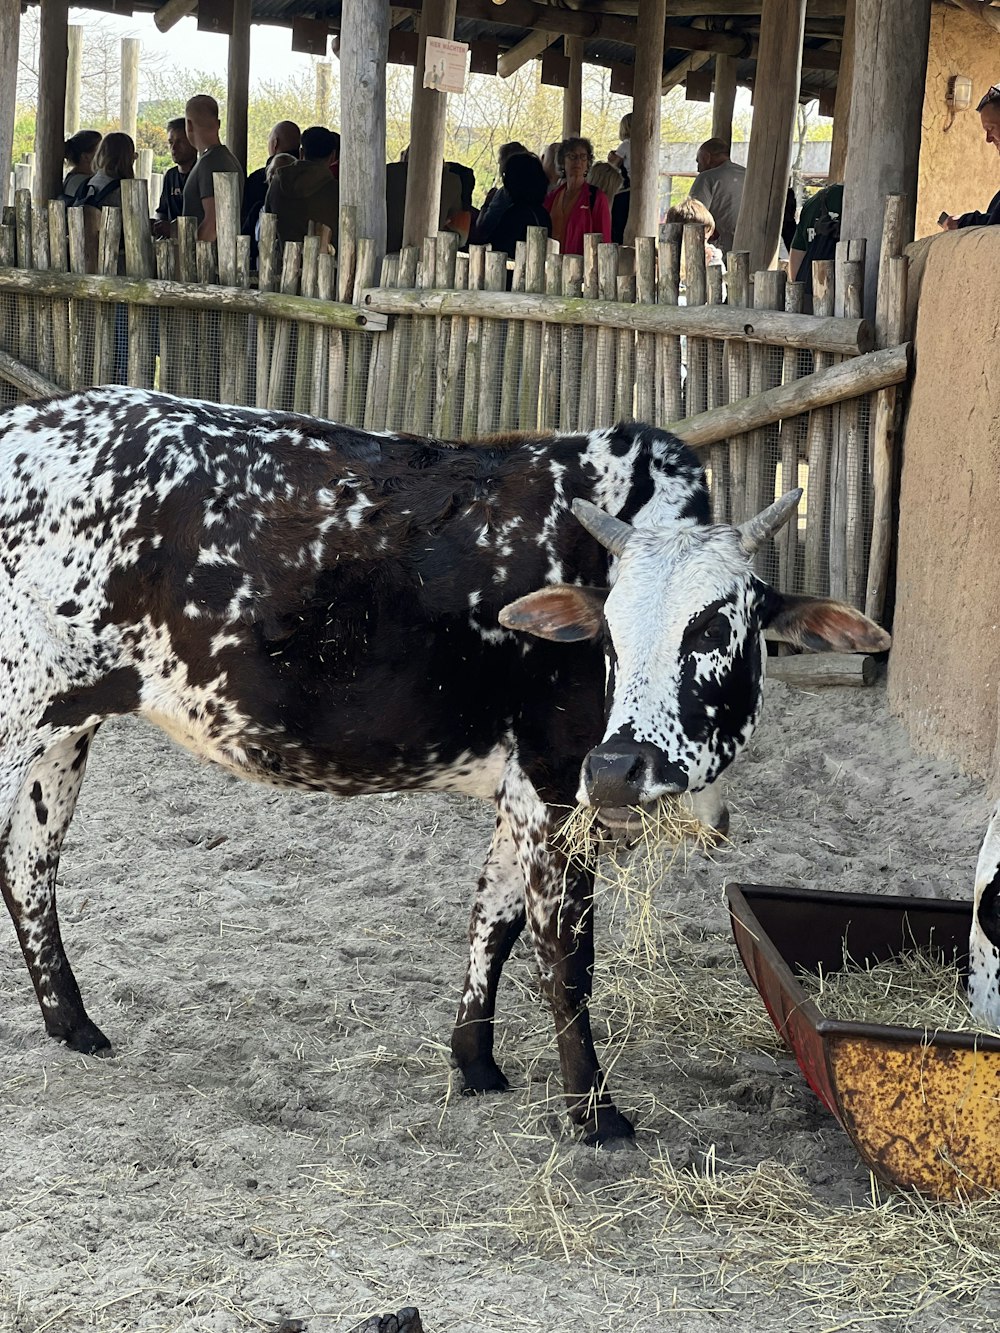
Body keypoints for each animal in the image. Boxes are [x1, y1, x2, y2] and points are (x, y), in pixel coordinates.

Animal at [0, 389, 890, 1146]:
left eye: (714, 626)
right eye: (606, 631)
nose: (619, 766)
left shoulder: (524, 790)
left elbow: (492, 918)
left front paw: (476, 1061)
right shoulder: (556, 781)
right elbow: (566, 956)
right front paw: (595, 1116)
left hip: (64, 727)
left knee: (29, 865)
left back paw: (74, 1024)